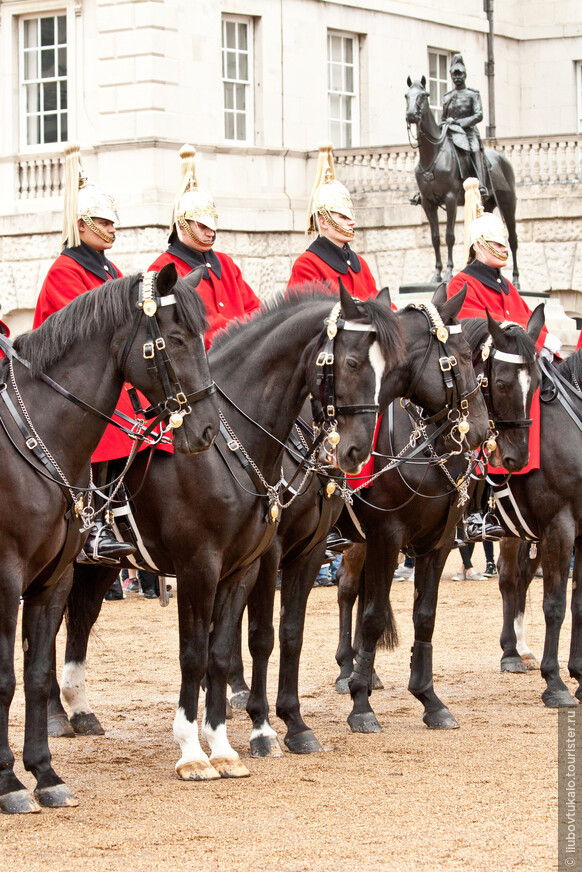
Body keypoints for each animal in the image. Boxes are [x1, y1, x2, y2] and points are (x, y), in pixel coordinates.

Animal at [0, 264, 220, 812]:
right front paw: (9, 782)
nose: (208, 431)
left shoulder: (52, 579)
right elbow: (6, 678)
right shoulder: (7, 580)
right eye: (176, 339)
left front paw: (45, 775)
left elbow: (36, 673)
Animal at [48, 286, 408, 784]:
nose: (355, 452)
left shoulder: (262, 561)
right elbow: (217, 647)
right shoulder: (205, 565)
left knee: (80, 619)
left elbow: (251, 643)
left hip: (104, 564)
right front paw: (217, 742)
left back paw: (81, 711)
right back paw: (54, 717)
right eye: (352, 362)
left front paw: (258, 735)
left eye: (389, 371)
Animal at [406, 76, 520, 284]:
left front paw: (449, 272)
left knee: (513, 240)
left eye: (424, 95)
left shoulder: (450, 199)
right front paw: (437, 274)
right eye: (406, 95)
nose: (411, 115)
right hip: (487, 204)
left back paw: (515, 279)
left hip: (508, 205)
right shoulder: (428, 202)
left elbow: (449, 236)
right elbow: (435, 237)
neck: (432, 154)